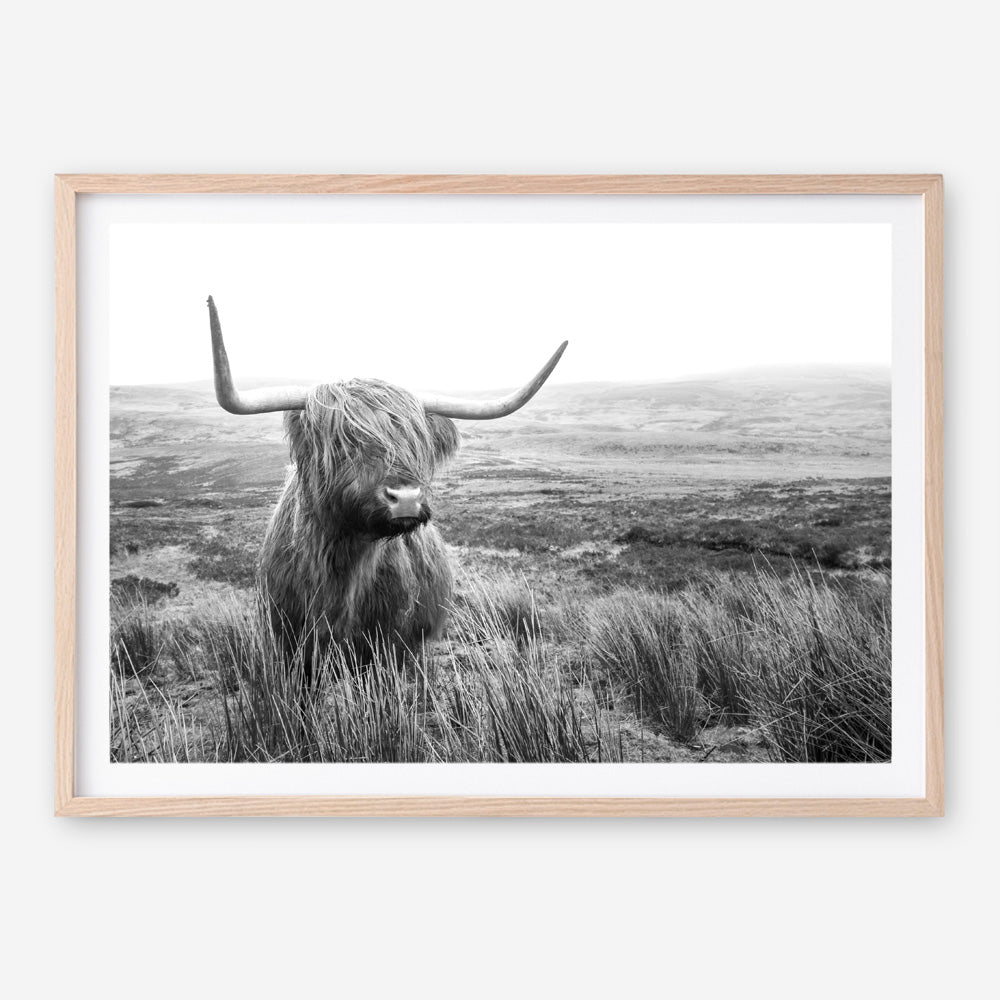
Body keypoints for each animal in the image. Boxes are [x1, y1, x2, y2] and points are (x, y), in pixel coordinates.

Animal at [207, 296, 567, 668]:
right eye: (342, 442)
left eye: (416, 442)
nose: (406, 498)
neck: (344, 569)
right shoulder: (289, 643)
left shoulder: (392, 646)